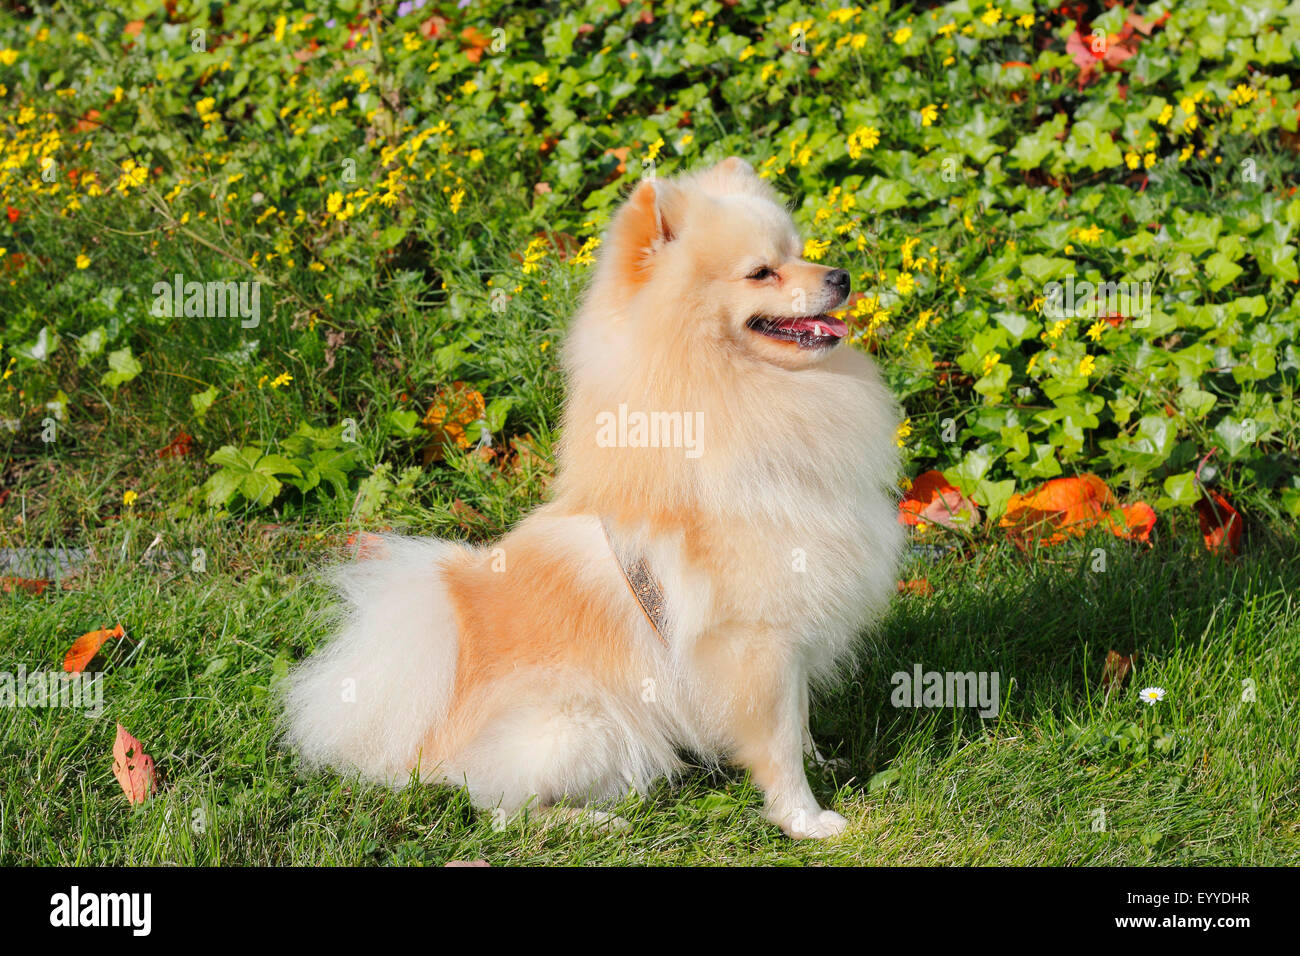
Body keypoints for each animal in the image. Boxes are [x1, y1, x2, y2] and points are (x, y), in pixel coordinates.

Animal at [282, 157, 904, 837]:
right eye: (762, 271)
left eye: (798, 252)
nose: (842, 277)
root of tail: (427, 732)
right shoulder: (753, 639)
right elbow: (779, 742)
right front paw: (806, 819)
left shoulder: (792, 629)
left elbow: (801, 717)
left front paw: (825, 760)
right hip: (581, 724)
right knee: (501, 811)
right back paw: (595, 823)